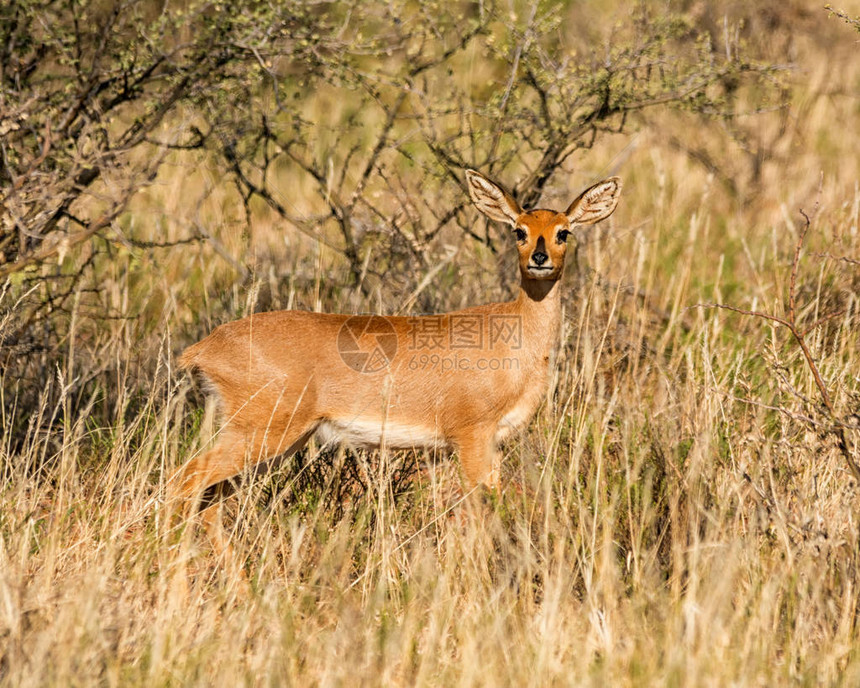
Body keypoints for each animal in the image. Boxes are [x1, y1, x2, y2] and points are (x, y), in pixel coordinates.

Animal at [173, 173, 620, 528]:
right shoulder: (471, 436)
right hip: (260, 434)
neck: (515, 335)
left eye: (564, 231)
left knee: (208, 500)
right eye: (519, 230)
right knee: (184, 483)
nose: (540, 259)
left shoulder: (489, 444)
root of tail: (203, 347)